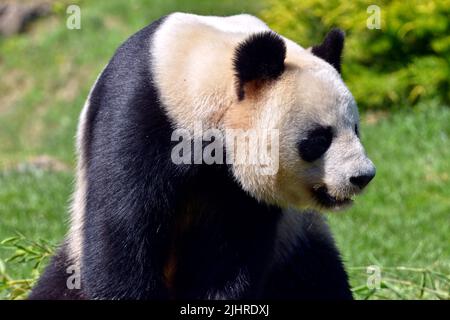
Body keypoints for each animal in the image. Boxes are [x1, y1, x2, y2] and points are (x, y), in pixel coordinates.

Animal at [29, 12, 376, 300]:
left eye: (356, 129)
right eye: (319, 139)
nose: (362, 176)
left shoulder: (237, 189)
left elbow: (231, 251)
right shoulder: (142, 111)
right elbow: (121, 227)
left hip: (295, 242)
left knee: (318, 278)